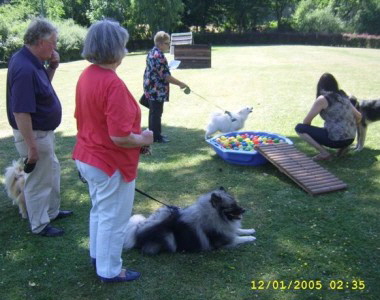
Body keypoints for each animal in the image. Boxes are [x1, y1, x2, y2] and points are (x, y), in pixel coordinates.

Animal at [124, 186, 255, 254]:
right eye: (232, 206)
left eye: (236, 203)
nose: (244, 210)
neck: (213, 216)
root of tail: (137, 232)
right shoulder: (224, 241)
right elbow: (239, 238)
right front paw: (251, 237)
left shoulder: (227, 229)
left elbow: (239, 230)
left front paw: (250, 230)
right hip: (168, 235)